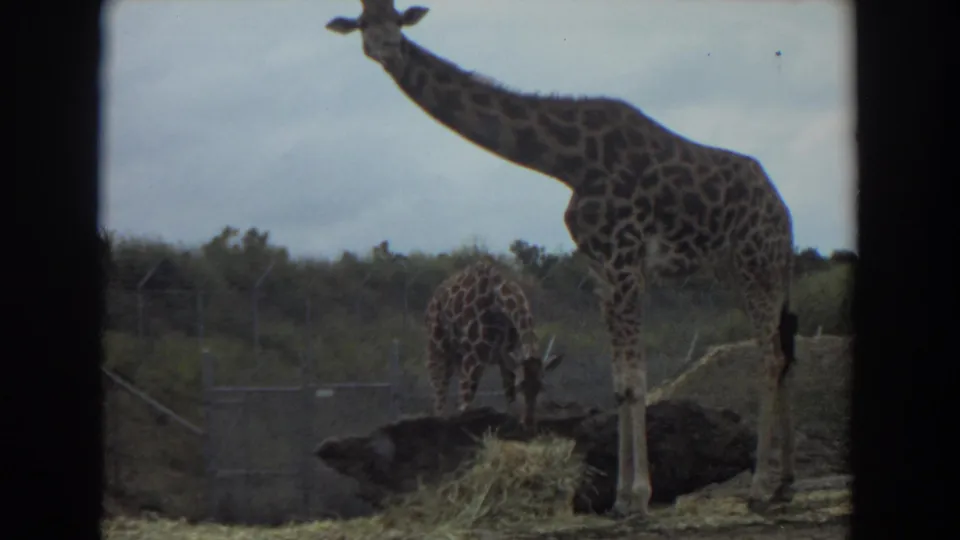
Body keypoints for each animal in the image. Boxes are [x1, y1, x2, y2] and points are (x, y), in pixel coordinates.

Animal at [425, 259, 563, 429]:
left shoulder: (506, 358)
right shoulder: (473, 358)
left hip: (457, 357)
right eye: (521, 385)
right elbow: (465, 405)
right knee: (439, 393)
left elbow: (509, 400)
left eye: (541, 387)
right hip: (437, 347)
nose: (529, 422)